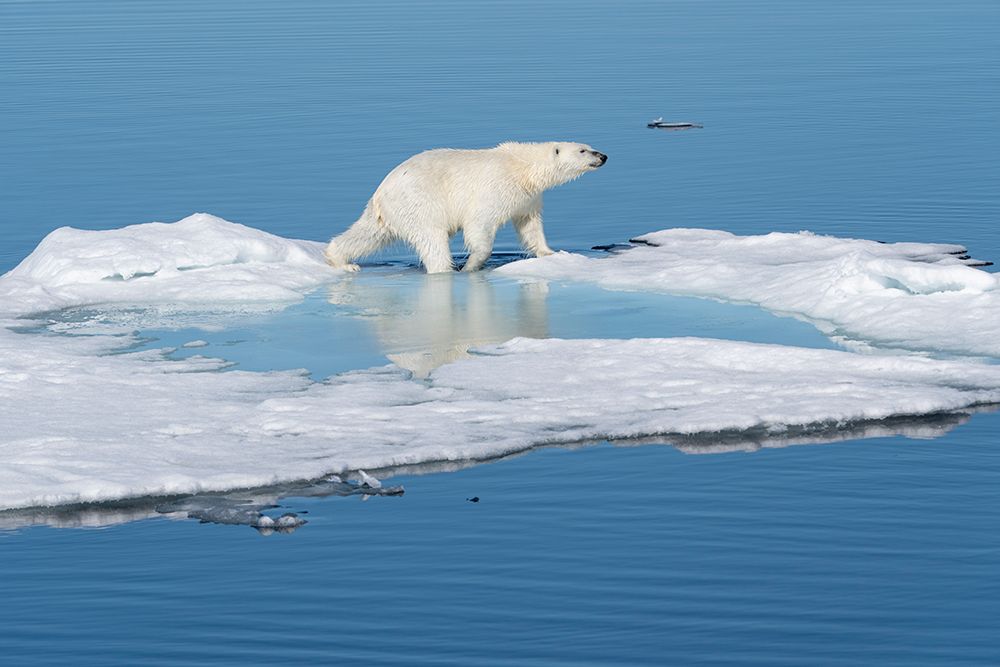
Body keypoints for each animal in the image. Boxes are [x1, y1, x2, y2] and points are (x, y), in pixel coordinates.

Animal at [324, 141, 607, 273]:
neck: (521, 167)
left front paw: (549, 253)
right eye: (583, 150)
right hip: (419, 204)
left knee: (369, 234)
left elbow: (529, 225)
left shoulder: (527, 196)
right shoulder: (495, 187)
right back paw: (445, 270)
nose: (603, 156)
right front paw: (471, 265)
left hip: (389, 213)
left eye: (589, 146)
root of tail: (380, 192)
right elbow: (480, 224)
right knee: (433, 241)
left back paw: (342, 260)